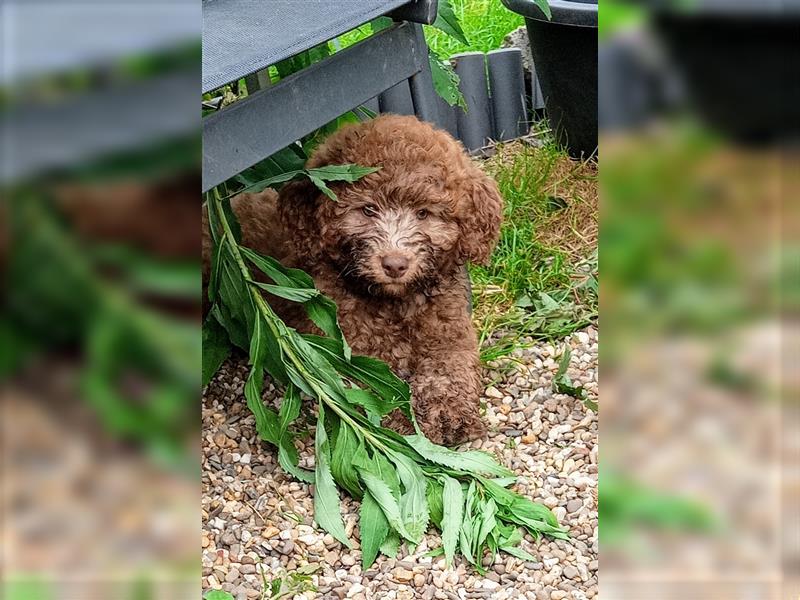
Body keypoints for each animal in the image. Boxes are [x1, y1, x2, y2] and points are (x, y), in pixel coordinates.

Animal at [208, 116, 506, 446]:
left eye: (423, 213)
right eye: (368, 209)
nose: (394, 264)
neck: (395, 303)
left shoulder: (449, 334)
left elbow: (450, 370)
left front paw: (448, 414)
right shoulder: (351, 349)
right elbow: (380, 388)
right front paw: (402, 426)